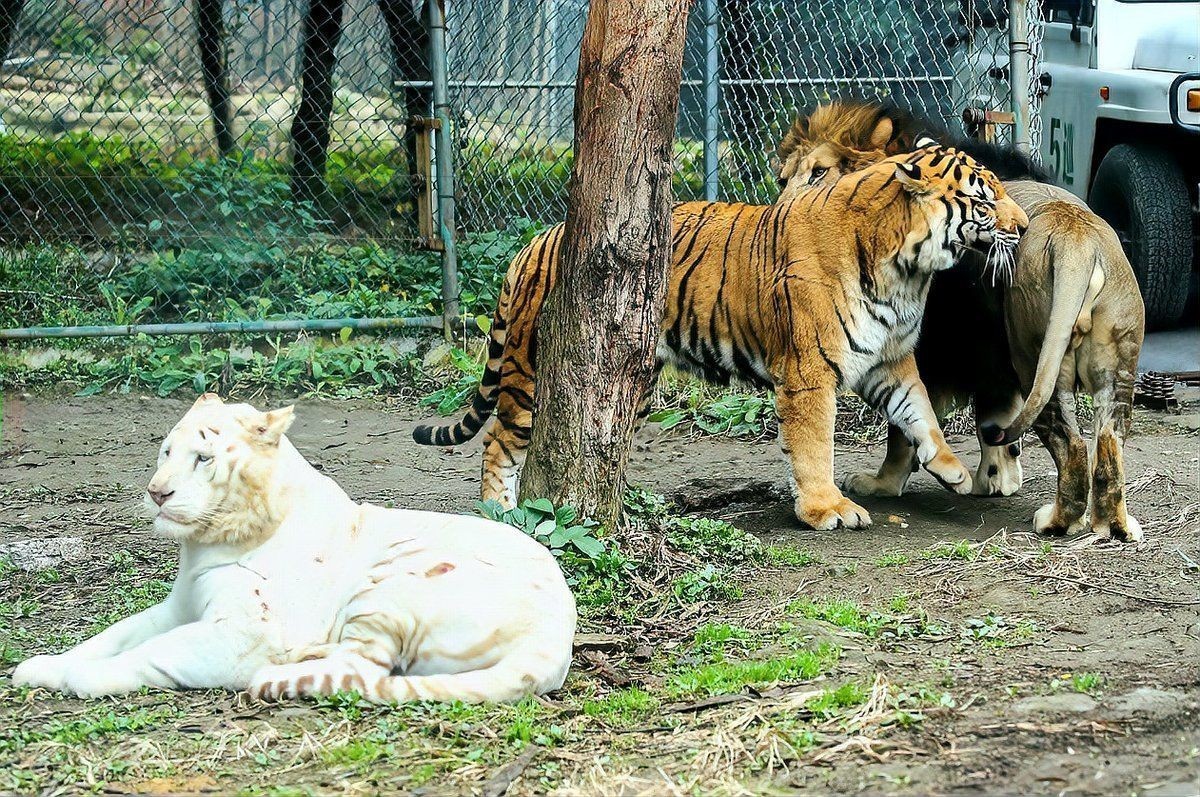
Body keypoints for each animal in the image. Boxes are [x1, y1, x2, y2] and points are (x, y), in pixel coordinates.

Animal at [11, 393, 576, 702]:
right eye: (166, 452)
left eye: (203, 458)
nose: (157, 492)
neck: (205, 542)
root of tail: (557, 635)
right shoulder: (177, 606)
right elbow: (112, 634)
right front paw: (39, 666)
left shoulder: (245, 634)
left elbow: (153, 651)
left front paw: (80, 677)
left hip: (392, 584)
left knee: (363, 668)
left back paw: (277, 677)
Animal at [413, 142, 1028, 531]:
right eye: (985, 200)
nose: (1022, 229)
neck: (907, 269)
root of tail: (539, 237)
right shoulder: (810, 371)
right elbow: (815, 445)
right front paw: (826, 508)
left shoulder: (888, 360)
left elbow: (919, 410)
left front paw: (953, 470)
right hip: (530, 372)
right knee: (498, 441)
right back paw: (501, 513)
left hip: (632, 380)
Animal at [776, 100, 1145, 541]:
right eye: (783, 178)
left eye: (819, 173)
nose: (781, 215)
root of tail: (1078, 236)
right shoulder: (987, 358)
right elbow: (994, 421)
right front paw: (997, 478)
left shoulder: (923, 350)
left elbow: (903, 427)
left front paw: (884, 484)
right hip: (1115, 366)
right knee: (1108, 443)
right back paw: (1114, 525)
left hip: (1037, 362)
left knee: (1072, 446)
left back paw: (1058, 521)